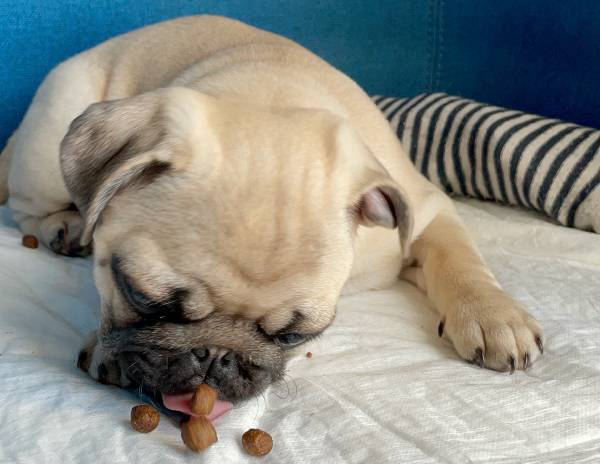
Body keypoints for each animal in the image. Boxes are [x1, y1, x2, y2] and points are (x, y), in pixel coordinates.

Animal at [0, 16, 543, 404]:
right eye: (142, 297)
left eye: (297, 335)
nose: (214, 355)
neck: (270, 97)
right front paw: (105, 345)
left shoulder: (426, 210)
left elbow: (460, 259)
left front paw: (494, 316)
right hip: (53, 130)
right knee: (29, 206)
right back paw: (66, 225)